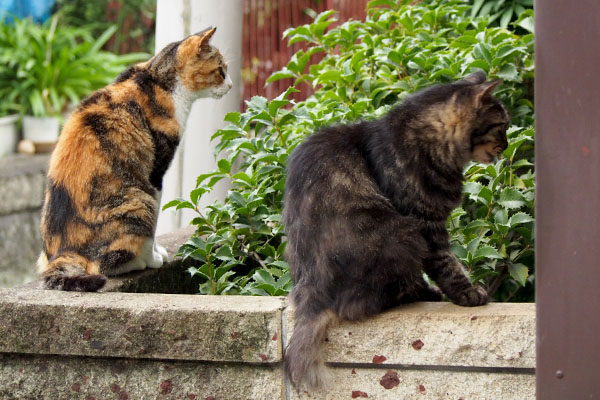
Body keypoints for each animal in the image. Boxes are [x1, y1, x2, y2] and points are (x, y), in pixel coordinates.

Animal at [38, 27, 232, 290]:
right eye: (220, 70)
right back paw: (137, 262)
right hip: (139, 199)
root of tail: (63, 254)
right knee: (104, 265)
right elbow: (154, 228)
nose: (231, 85)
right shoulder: (155, 174)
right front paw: (153, 258)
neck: (156, 79)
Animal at [284, 71, 508, 388]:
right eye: (502, 127)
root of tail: (311, 293)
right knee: (366, 302)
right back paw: (422, 293)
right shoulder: (425, 222)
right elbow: (447, 264)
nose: (508, 145)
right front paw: (468, 294)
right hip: (402, 234)